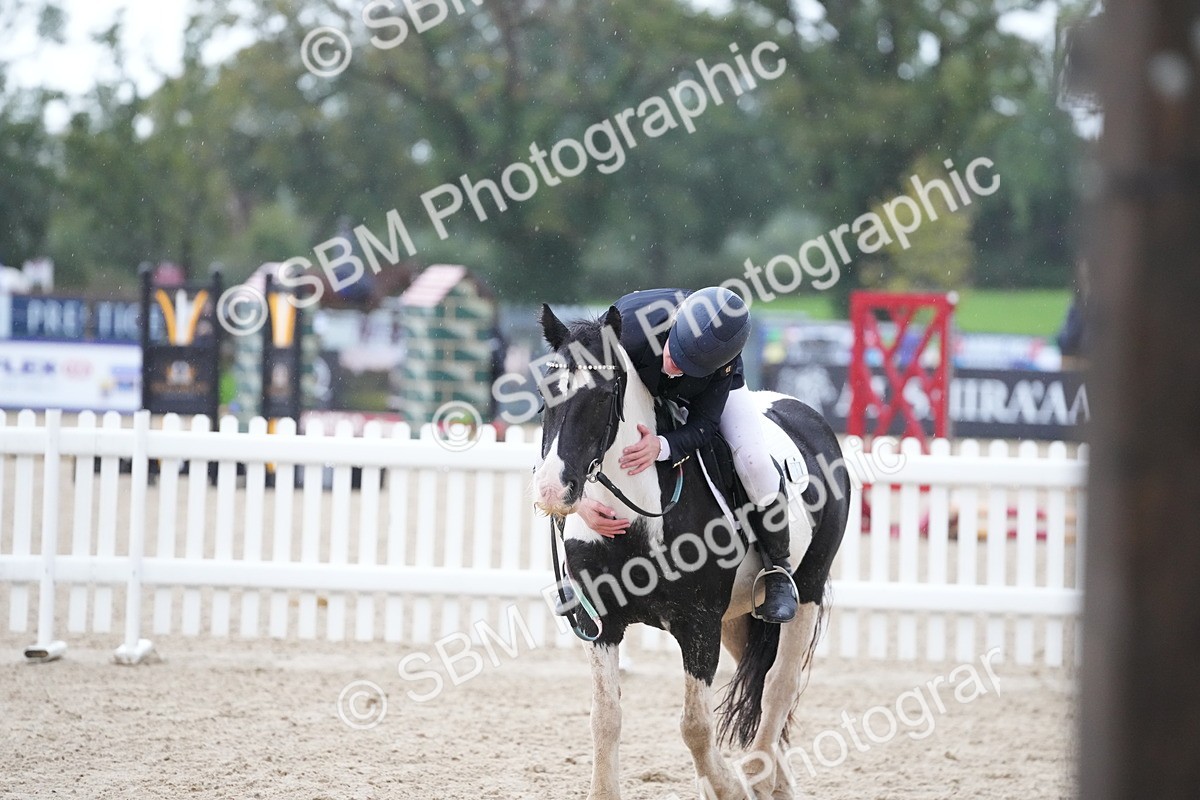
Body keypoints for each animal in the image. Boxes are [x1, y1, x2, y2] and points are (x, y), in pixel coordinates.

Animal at [532, 304, 851, 799]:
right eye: (546, 389)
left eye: (603, 396)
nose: (551, 490)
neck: (640, 518)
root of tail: (806, 415)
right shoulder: (601, 624)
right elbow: (605, 718)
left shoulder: (698, 626)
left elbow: (695, 726)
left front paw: (730, 787)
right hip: (739, 617)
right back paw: (776, 782)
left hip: (807, 589)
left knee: (779, 682)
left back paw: (758, 774)